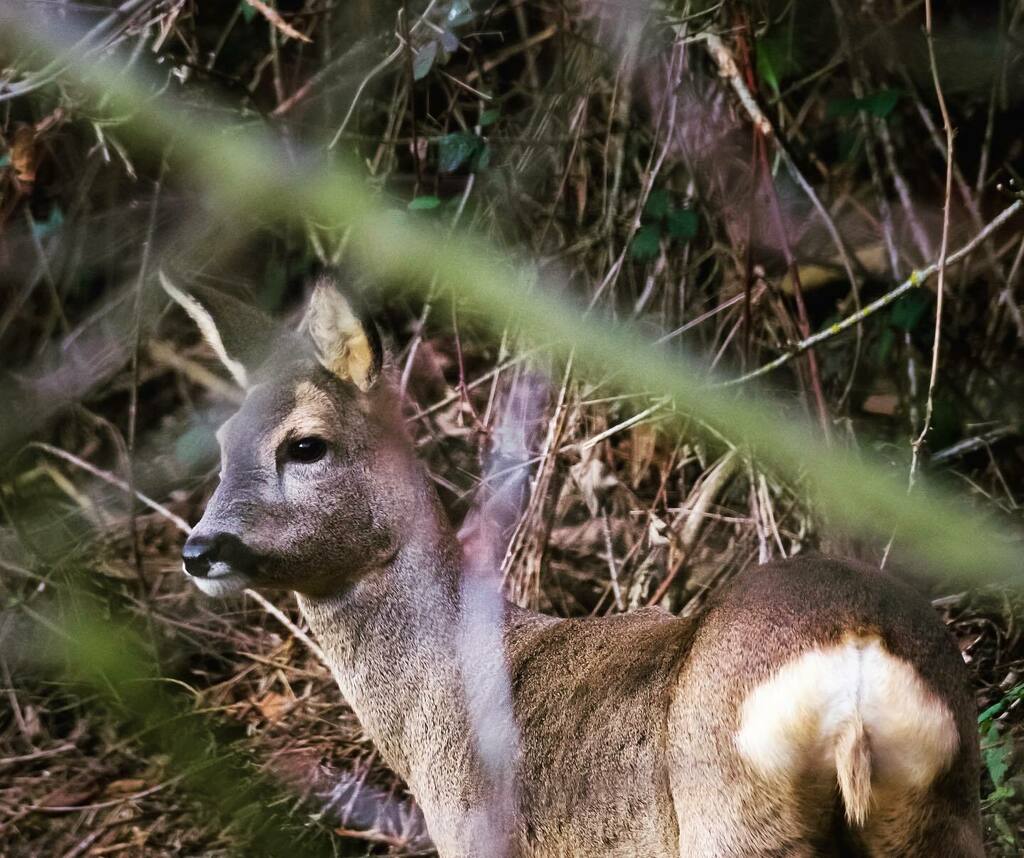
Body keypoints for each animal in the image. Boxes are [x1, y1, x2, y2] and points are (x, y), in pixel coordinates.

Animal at [163, 275, 983, 857]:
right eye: (223, 443)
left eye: (306, 445)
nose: (200, 549)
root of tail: (852, 653)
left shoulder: (480, 841)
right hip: (942, 807)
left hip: (736, 823)